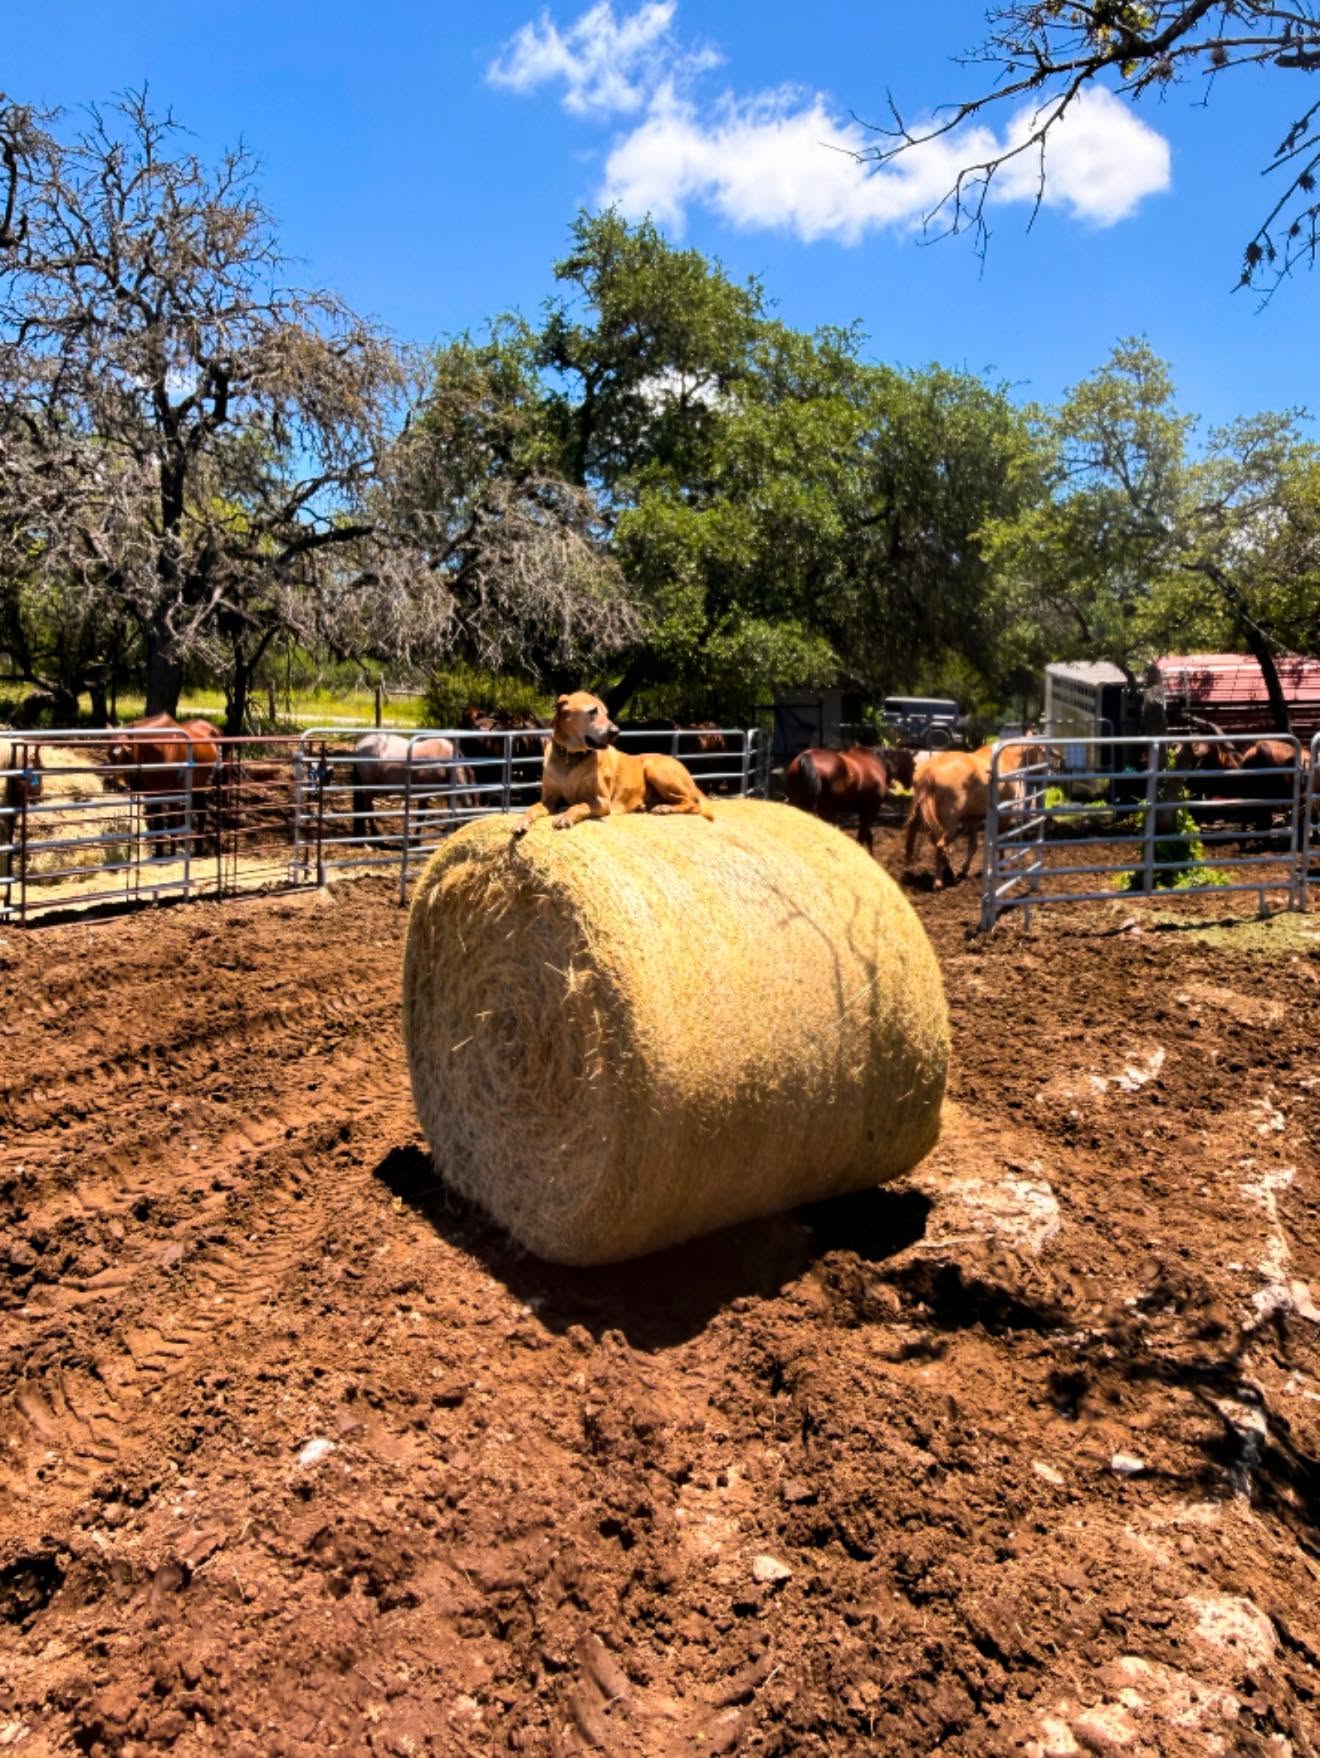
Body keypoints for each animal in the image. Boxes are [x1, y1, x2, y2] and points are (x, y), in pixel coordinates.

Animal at [103, 713, 222, 858]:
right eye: (109, 755)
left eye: (128, 754)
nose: (119, 786)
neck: (162, 748)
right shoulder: (153, 795)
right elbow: (158, 823)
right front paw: (159, 854)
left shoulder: (173, 795)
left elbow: (172, 824)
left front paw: (172, 854)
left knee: (200, 813)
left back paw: (198, 850)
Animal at [785, 745, 917, 853]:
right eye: (914, 765)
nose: (911, 784)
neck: (879, 763)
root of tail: (806, 757)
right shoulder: (871, 810)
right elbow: (863, 837)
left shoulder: (864, 812)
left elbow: (868, 836)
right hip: (826, 810)